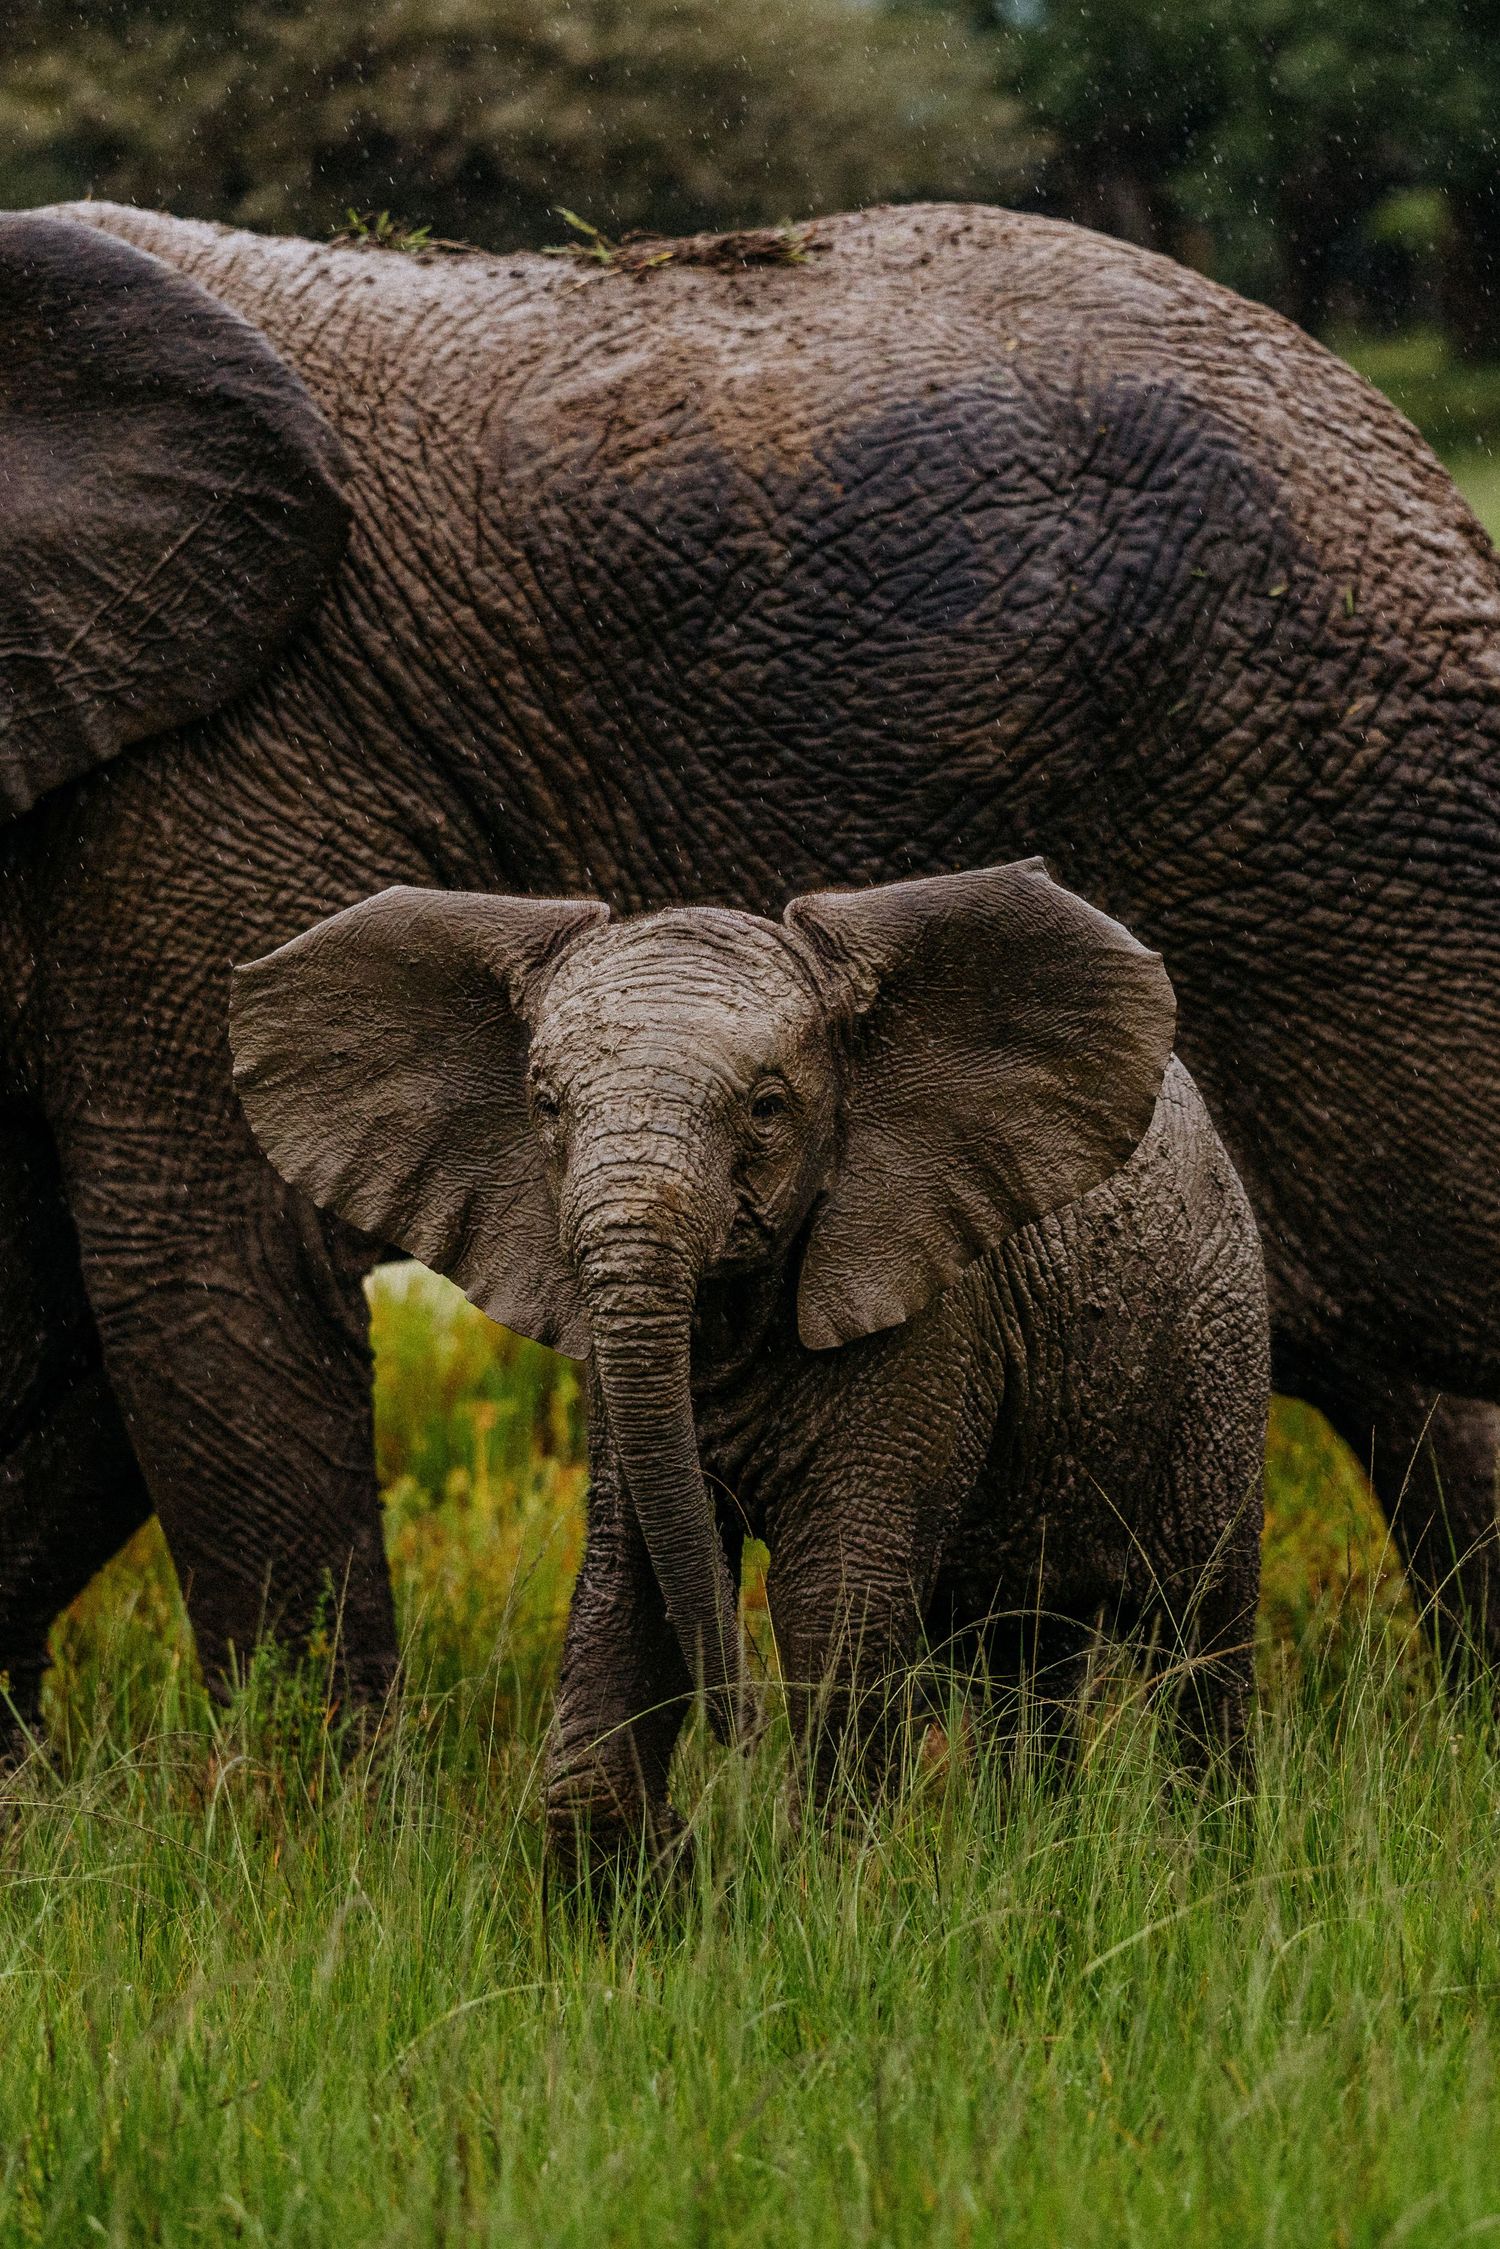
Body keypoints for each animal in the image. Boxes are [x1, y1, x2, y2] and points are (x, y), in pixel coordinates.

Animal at [0, 193, 1495, 1732]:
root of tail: (1395, 443)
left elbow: (210, 1270)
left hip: (1329, 804)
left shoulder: (235, 750)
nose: (739, 1718)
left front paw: (302, 1781)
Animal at [229, 863, 1269, 1853]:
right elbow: (629, 1590)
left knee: (1201, 1637)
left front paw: (827, 1883)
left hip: (1219, 1338)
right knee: (1027, 1657)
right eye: (545, 1104)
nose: (739, 1739)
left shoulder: (927, 1320)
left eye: (768, 1108)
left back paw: (1216, 1861)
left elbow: (835, 1603)